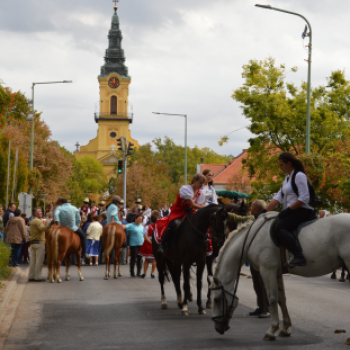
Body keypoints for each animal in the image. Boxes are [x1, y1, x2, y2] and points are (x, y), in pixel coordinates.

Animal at [211, 213, 350, 342]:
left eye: (217, 300)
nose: (218, 328)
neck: (254, 237)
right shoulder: (276, 273)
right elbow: (281, 299)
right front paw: (285, 328)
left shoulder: (267, 271)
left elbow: (272, 298)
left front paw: (272, 330)